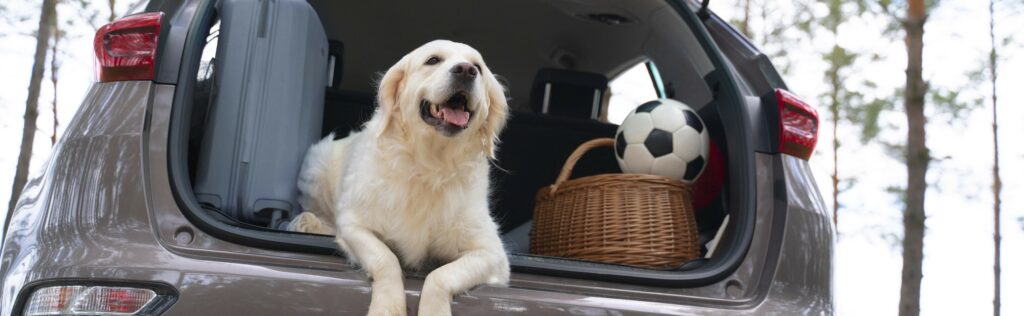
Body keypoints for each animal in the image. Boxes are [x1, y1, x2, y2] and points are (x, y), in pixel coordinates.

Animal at [286, 39, 509, 314]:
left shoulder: (492, 253)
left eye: (478, 67)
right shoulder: (353, 224)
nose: (466, 70)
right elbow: (386, 258)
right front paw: (386, 306)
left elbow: (441, 275)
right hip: (318, 162)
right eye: (433, 60)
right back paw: (308, 223)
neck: (431, 166)